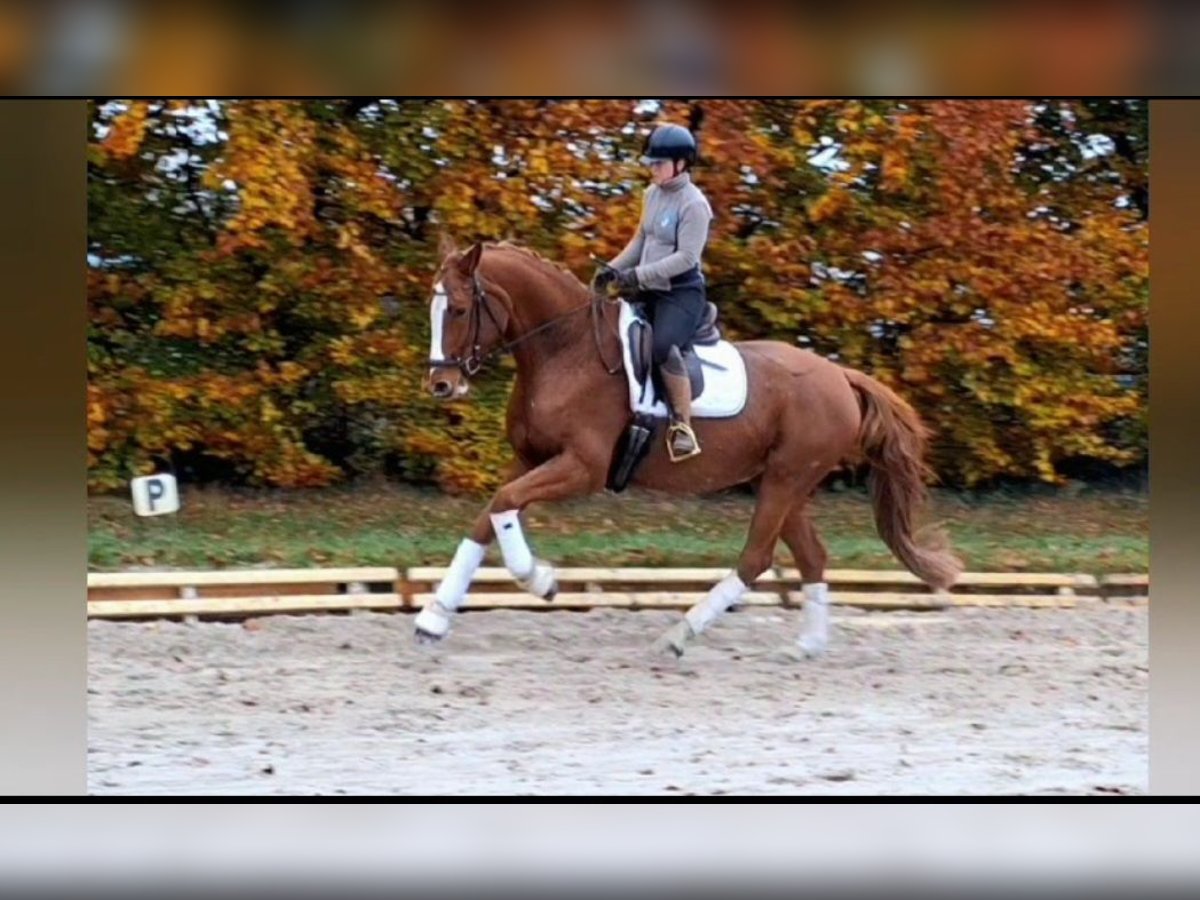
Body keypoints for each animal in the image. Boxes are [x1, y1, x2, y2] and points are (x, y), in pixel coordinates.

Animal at [417, 237, 960, 662]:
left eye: (460, 309)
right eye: (433, 309)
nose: (441, 385)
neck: (564, 350)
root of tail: (840, 376)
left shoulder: (582, 468)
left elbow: (505, 505)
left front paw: (541, 580)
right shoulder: (529, 459)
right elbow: (488, 515)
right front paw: (434, 618)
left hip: (786, 479)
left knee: (755, 559)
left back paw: (678, 636)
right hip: (783, 481)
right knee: (810, 556)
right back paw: (807, 645)